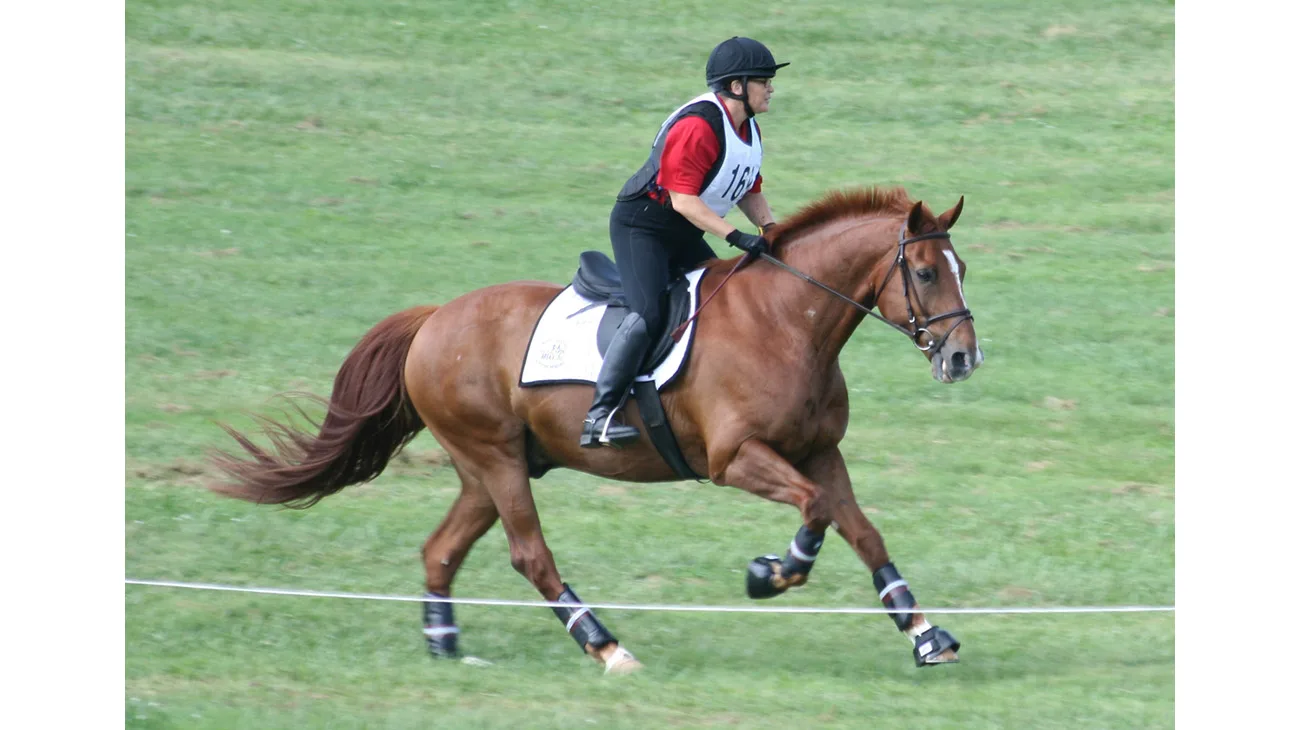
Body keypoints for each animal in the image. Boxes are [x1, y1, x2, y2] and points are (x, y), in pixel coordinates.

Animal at [209, 185, 983, 673]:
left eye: (962, 267)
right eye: (923, 272)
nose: (963, 358)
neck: (788, 321)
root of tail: (432, 320)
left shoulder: (820, 452)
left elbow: (862, 531)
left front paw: (925, 636)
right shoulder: (737, 458)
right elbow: (816, 513)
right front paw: (771, 574)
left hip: (485, 469)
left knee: (441, 550)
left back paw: (444, 645)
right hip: (495, 459)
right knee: (531, 556)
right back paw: (607, 647)